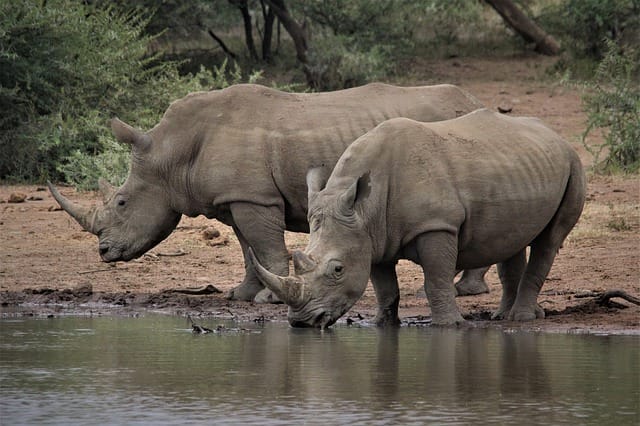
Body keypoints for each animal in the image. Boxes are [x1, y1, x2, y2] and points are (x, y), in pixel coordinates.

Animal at [48, 83, 489, 303]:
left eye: (122, 203)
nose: (104, 252)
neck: (172, 152)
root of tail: (471, 98)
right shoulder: (237, 197)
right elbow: (249, 249)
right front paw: (241, 296)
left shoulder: (254, 197)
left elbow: (265, 245)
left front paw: (270, 301)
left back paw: (464, 290)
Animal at [250, 109, 586, 327]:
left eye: (337, 269)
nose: (301, 322)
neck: (364, 209)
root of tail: (555, 135)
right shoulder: (372, 236)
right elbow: (385, 286)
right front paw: (383, 324)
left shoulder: (436, 226)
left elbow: (435, 279)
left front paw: (449, 325)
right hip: (520, 166)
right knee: (511, 240)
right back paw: (504, 316)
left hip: (573, 163)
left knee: (549, 240)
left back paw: (521, 318)